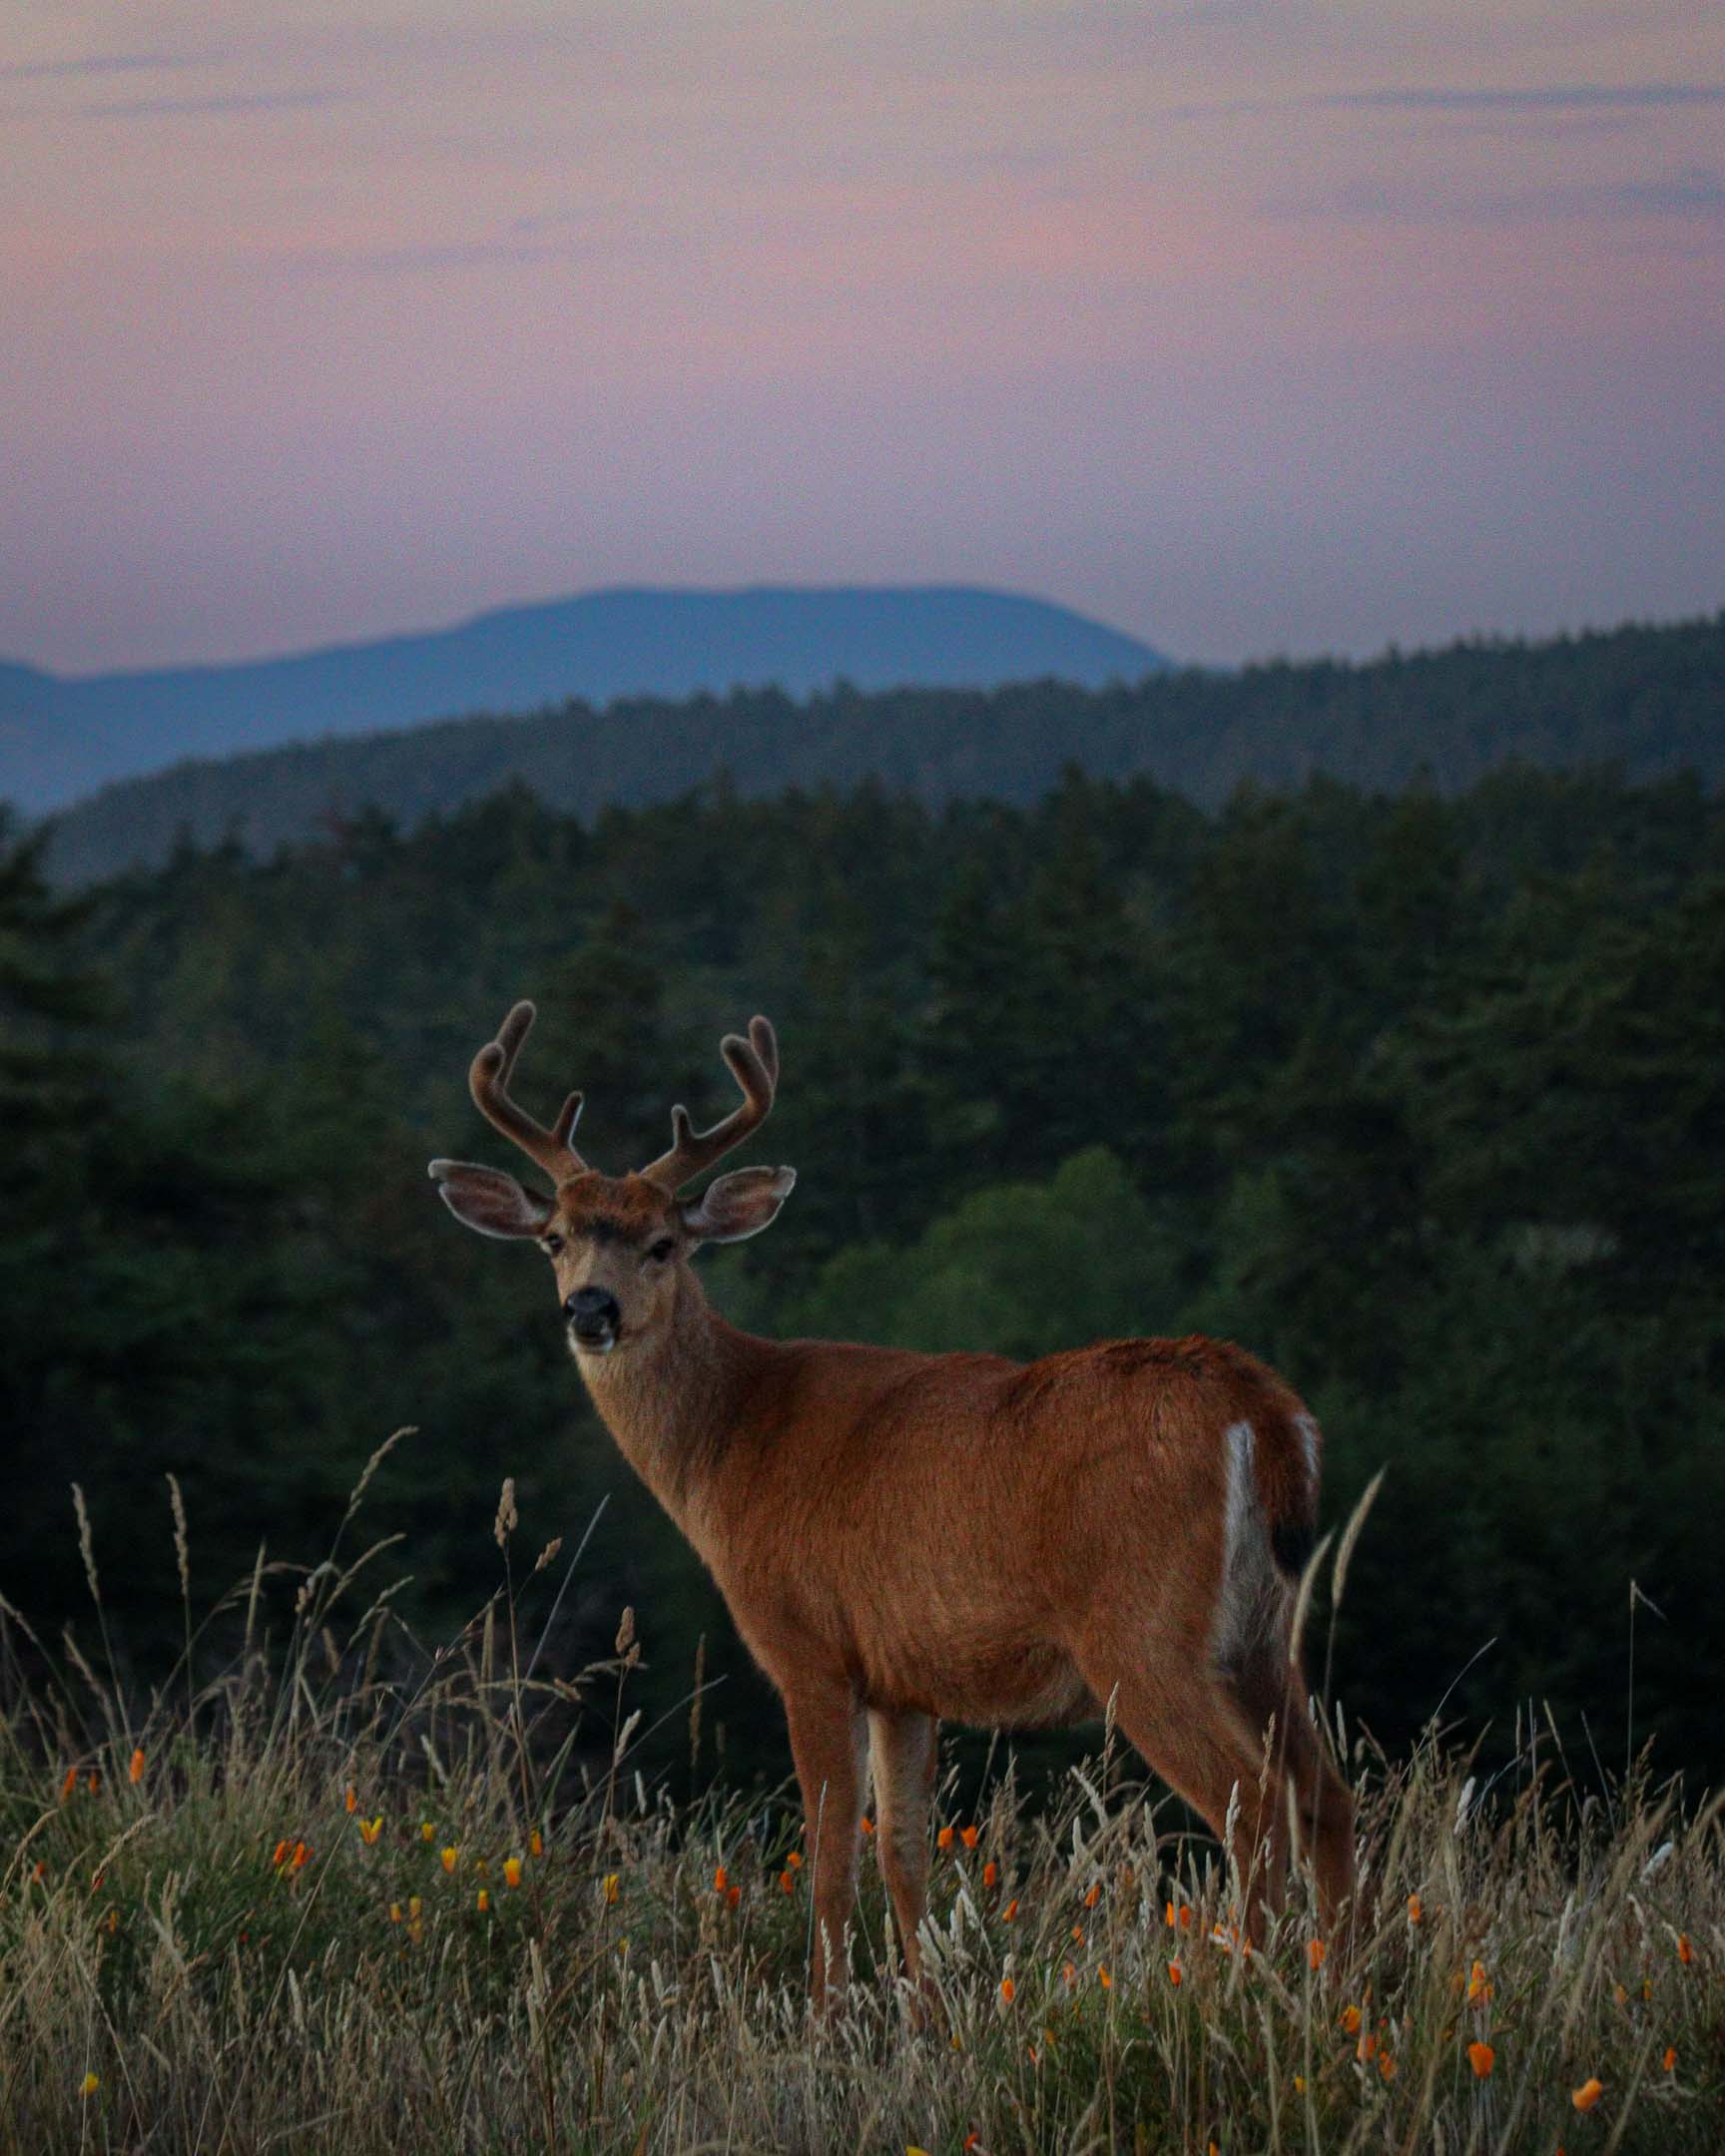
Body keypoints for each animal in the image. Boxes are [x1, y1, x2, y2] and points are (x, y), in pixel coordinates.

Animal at [430, 1002, 1356, 2010]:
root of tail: (1263, 1408)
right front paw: (927, 2010)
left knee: (1253, 1797)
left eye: (663, 1243)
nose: (591, 1309)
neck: (732, 1444)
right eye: (554, 1238)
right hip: (1261, 1631)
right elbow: (905, 1851)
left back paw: (1246, 1987)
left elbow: (831, 1856)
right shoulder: (901, 1679)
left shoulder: (806, 1647)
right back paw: (1350, 1976)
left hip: (1142, 1630)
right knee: (1325, 1791)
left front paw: (825, 2014)